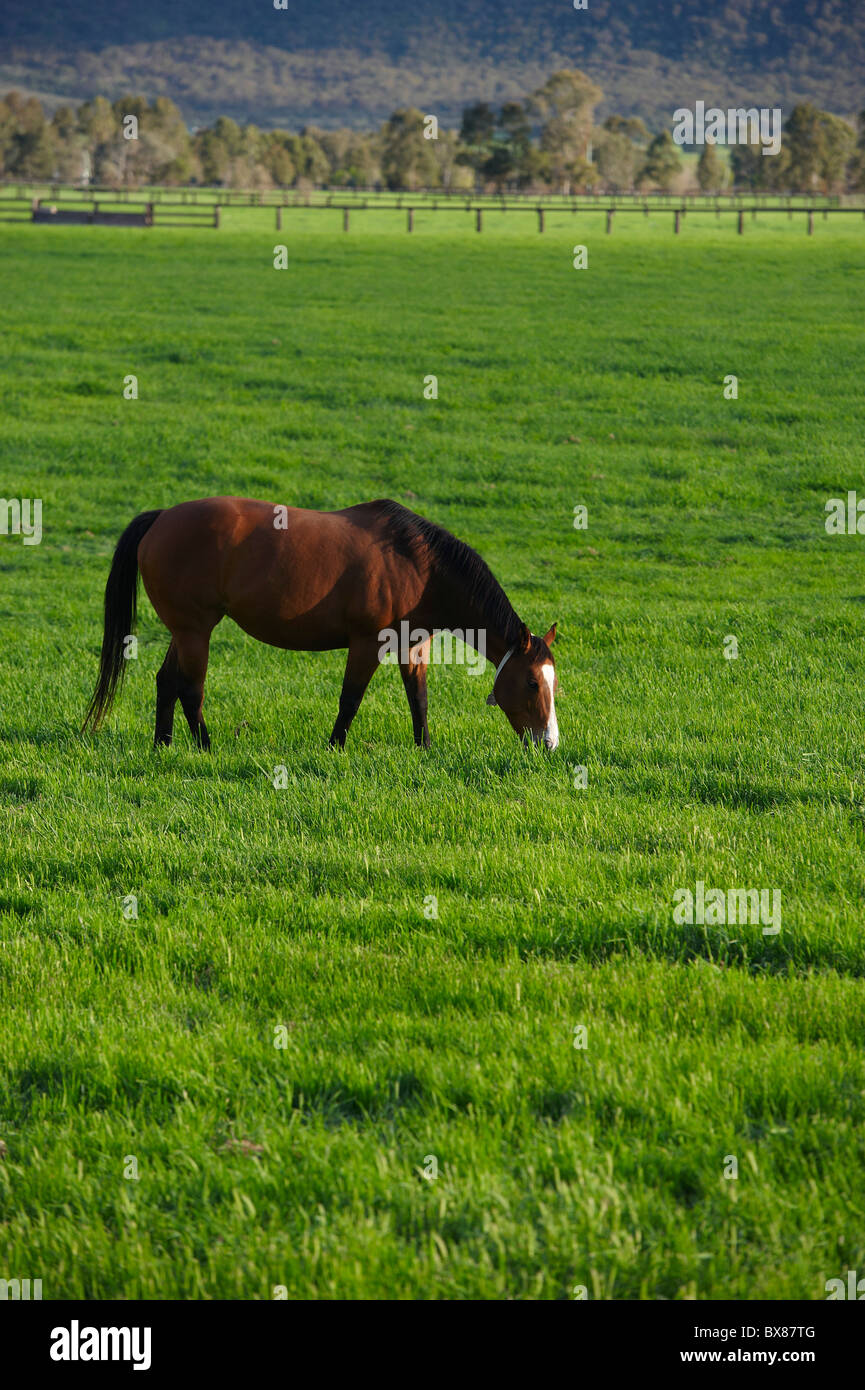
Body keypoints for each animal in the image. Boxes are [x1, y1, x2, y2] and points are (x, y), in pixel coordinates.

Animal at [83, 497, 561, 750]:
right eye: (532, 683)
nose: (549, 743)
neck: (418, 562)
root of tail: (161, 517)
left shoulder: (413, 645)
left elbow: (419, 700)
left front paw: (424, 747)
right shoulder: (367, 643)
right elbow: (350, 699)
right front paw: (335, 747)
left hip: (183, 632)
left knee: (167, 682)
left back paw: (163, 745)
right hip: (196, 631)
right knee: (190, 689)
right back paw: (205, 747)